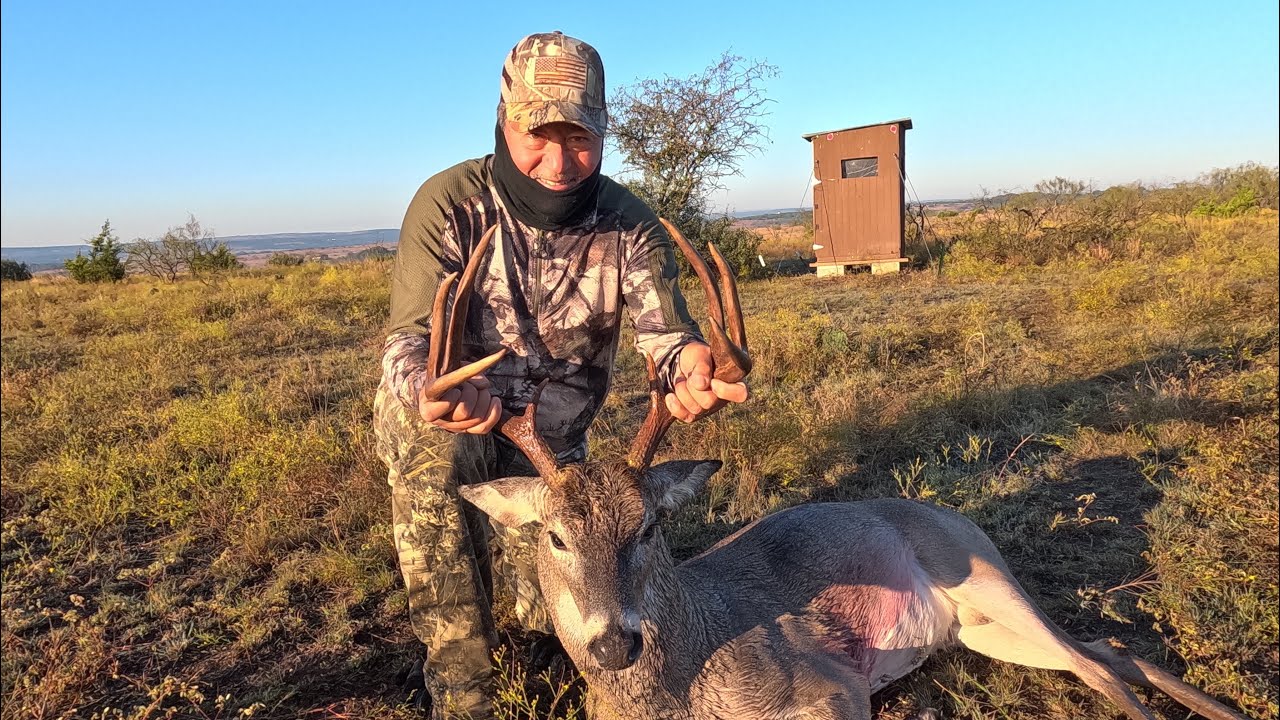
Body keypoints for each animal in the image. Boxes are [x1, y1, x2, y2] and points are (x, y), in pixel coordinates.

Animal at [422, 221, 1249, 720]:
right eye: (555, 536)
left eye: (650, 527)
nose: (614, 644)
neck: (684, 687)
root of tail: (947, 515)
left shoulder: (835, 686)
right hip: (976, 629)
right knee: (1107, 650)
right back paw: (1228, 707)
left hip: (984, 578)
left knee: (1098, 666)